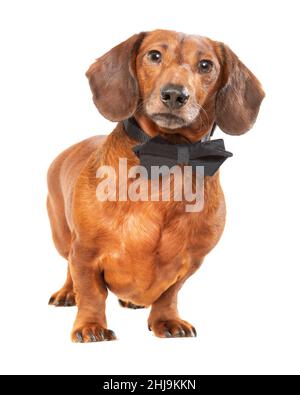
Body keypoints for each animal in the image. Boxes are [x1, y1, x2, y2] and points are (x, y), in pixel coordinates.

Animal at [47, 29, 264, 342]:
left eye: (206, 65)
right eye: (154, 55)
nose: (175, 94)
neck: (167, 155)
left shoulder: (191, 261)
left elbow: (168, 294)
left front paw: (166, 320)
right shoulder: (85, 252)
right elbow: (90, 292)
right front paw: (91, 326)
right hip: (63, 237)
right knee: (68, 267)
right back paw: (67, 292)